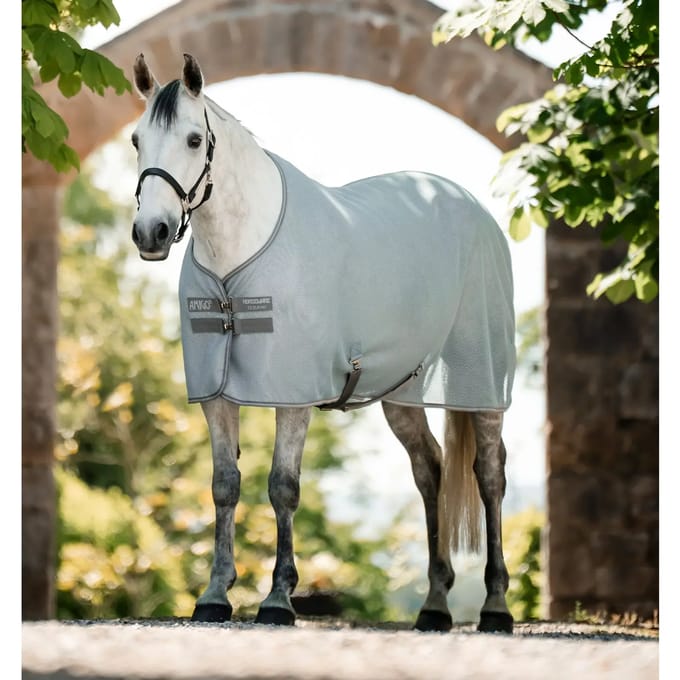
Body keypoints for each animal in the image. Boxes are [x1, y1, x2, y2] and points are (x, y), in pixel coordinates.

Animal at [130, 53, 516, 634]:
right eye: (136, 140)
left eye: (195, 139)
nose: (150, 232)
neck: (240, 256)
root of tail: (472, 207)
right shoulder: (216, 395)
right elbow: (225, 484)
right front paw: (215, 595)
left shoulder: (294, 395)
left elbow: (282, 486)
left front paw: (277, 600)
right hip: (403, 393)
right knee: (430, 470)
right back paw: (434, 605)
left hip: (483, 385)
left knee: (489, 475)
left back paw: (495, 606)